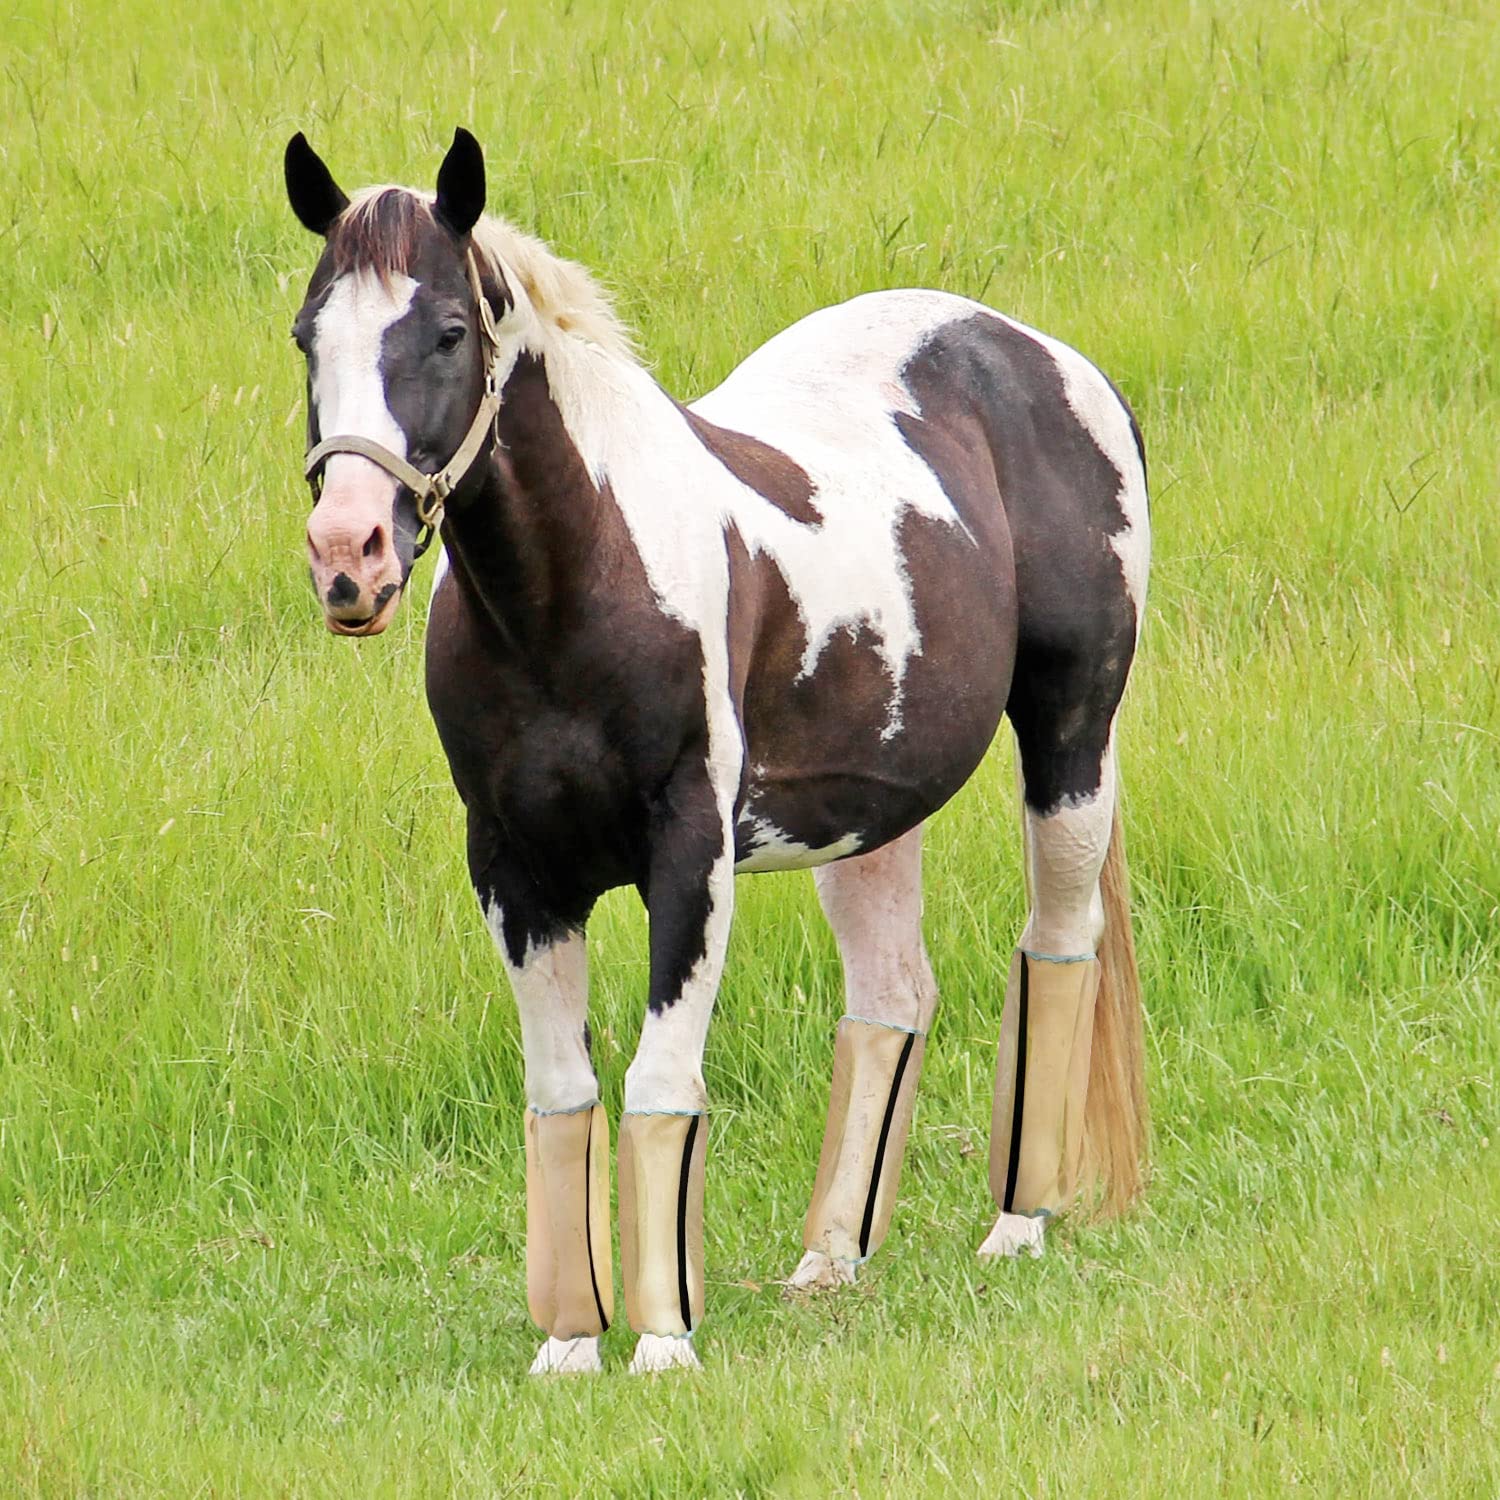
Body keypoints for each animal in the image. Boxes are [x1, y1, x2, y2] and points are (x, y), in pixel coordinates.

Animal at [284, 128, 1150, 1376]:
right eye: (310, 334)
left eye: (447, 330)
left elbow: (660, 1080)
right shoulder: (514, 873)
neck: (578, 594)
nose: (347, 556)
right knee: (892, 996)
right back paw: (829, 1261)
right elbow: (561, 1093)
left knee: (1058, 944)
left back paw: (1016, 1228)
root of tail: (1047, 359)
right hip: (872, 810)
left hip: (1072, 740)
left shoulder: (688, 857)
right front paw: (568, 1348)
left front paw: (661, 1346)